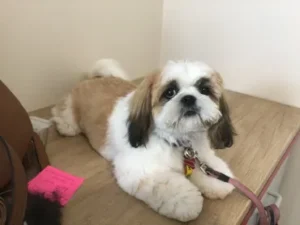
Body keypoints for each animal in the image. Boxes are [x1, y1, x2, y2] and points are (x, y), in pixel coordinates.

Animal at [50, 59, 236, 222]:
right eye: (170, 92)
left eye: (204, 89)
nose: (189, 98)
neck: (177, 141)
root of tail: (94, 78)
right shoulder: (138, 168)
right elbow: (169, 187)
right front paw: (188, 202)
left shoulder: (200, 154)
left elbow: (210, 166)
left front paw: (217, 183)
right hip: (70, 111)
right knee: (64, 116)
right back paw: (64, 124)